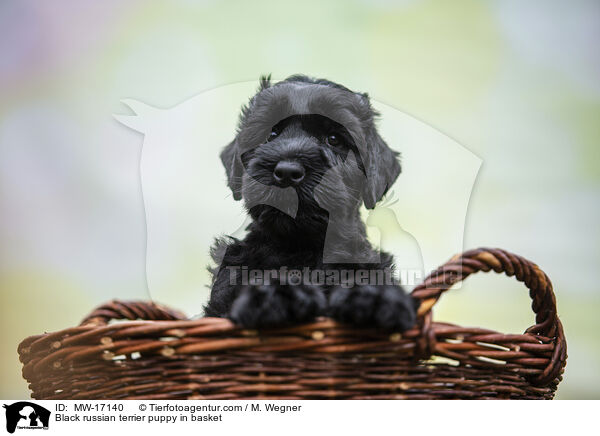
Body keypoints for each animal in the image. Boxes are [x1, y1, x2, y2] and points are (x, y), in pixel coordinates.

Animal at [204, 76, 414, 330]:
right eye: (271, 134)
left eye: (334, 139)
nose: (287, 171)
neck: (303, 246)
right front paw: (277, 293)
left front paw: (373, 295)